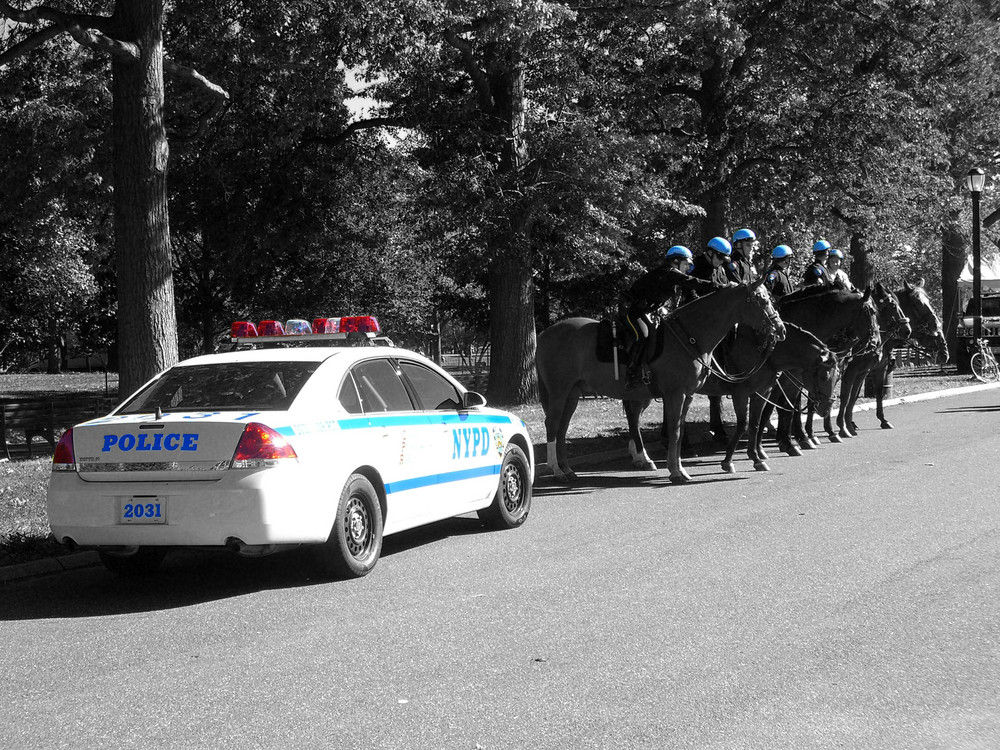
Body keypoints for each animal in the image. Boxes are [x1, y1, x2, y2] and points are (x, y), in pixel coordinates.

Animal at [536, 280, 784, 484]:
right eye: (762, 300)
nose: (780, 329)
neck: (690, 336)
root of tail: (543, 334)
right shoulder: (678, 394)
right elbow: (676, 430)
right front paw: (676, 472)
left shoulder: (688, 395)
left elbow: (680, 431)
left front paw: (681, 469)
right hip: (559, 391)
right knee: (553, 424)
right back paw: (557, 470)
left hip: (573, 393)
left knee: (563, 427)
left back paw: (568, 469)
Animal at [700, 324, 840, 476]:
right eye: (824, 377)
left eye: (838, 376)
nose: (826, 408)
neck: (763, 352)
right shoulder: (741, 393)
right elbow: (743, 425)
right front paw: (728, 461)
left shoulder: (762, 393)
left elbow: (755, 424)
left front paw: (756, 458)